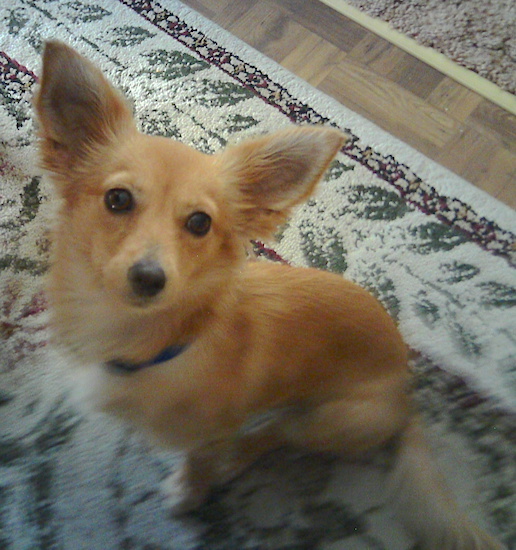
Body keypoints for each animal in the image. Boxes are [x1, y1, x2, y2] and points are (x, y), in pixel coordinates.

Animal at [34, 41, 506, 548]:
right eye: (118, 199)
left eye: (199, 222)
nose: (149, 277)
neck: (152, 340)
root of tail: (406, 393)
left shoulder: (215, 430)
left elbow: (203, 458)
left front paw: (192, 489)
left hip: (328, 419)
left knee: (275, 434)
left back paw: (235, 461)